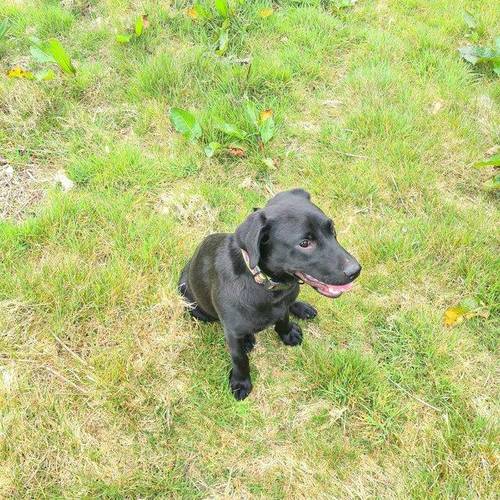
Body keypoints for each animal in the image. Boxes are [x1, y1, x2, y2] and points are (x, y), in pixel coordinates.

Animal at [178, 189, 362, 400]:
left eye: (332, 230)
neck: (266, 286)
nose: (356, 270)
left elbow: (283, 319)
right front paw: (241, 382)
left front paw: (287, 333)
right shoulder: (232, 332)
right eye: (304, 243)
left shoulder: (283, 304)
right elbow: (239, 359)